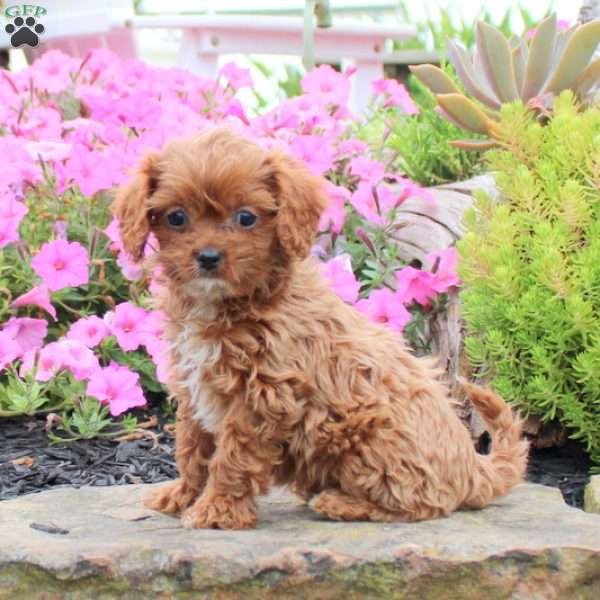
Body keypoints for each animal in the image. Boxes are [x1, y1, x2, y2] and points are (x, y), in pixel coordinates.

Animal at [112, 127, 528, 528]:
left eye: (246, 218)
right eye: (176, 217)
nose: (209, 257)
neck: (228, 304)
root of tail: (471, 467)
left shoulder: (262, 398)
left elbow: (233, 457)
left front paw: (217, 511)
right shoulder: (194, 388)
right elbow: (192, 447)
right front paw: (183, 495)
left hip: (374, 437)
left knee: (425, 503)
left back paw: (339, 502)